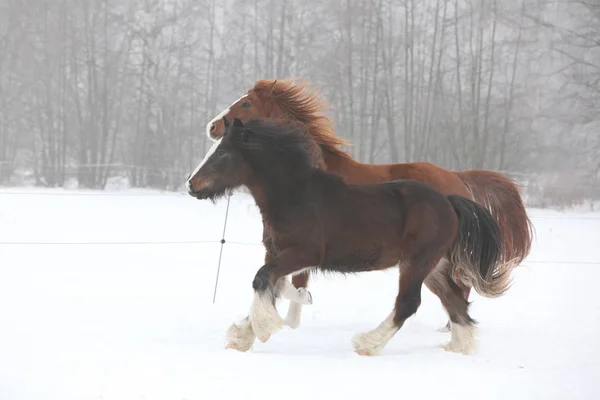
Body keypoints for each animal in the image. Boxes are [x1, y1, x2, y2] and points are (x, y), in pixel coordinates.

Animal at [186, 117, 506, 354]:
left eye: (223, 153)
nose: (191, 184)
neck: (295, 196)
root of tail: (450, 202)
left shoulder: (304, 253)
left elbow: (263, 279)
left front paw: (263, 328)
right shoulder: (276, 252)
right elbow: (271, 285)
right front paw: (244, 335)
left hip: (418, 262)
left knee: (409, 303)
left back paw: (368, 343)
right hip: (434, 268)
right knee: (455, 302)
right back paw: (459, 347)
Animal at [207, 76, 536, 332]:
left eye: (246, 103)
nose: (212, 126)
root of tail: (457, 178)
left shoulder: (306, 245)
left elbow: (296, 283)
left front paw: (289, 322)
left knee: (460, 283)